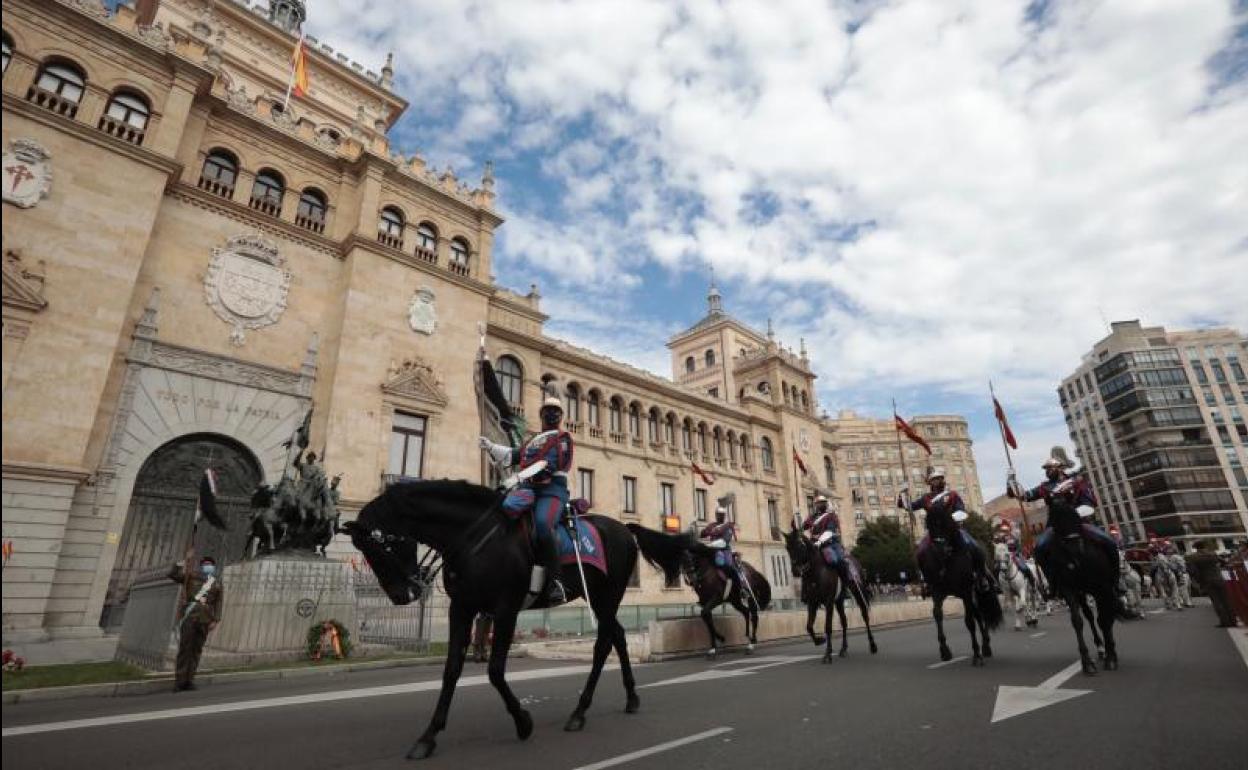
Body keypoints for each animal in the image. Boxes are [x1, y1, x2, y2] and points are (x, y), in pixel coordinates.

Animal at [339, 476, 638, 758]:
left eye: (377, 549)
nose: (402, 595)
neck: (475, 538)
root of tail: (624, 530)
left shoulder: (505, 611)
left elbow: (495, 671)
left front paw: (523, 722)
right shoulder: (461, 608)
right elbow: (451, 670)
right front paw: (428, 736)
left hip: (607, 598)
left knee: (604, 644)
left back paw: (585, 711)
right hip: (597, 599)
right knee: (617, 636)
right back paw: (623, 701)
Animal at [624, 521, 768, 653]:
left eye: (691, 558)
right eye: (681, 561)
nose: (692, 579)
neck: (705, 572)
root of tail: (753, 570)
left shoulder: (716, 598)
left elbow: (705, 614)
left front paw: (718, 640)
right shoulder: (706, 601)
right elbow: (706, 617)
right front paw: (715, 644)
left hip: (748, 598)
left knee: (754, 615)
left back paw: (752, 642)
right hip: (735, 600)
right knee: (746, 612)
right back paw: (747, 637)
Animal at [778, 529, 878, 658]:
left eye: (800, 545)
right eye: (787, 547)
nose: (795, 571)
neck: (815, 574)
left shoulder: (828, 602)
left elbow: (828, 627)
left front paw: (827, 654)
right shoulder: (812, 603)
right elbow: (809, 626)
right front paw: (820, 641)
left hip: (858, 592)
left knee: (865, 616)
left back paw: (872, 645)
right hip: (839, 601)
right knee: (844, 622)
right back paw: (843, 649)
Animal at [913, 526, 1008, 663]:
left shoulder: (966, 592)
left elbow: (970, 620)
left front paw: (977, 652)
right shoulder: (938, 592)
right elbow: (938, 614)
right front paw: (945, 650)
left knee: (979, 613)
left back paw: (985, 646)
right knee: (978, 614)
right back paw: (985, 644)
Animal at [1038, 499, 1118, 673]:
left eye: (1077, 519)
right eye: (1056, 520)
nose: (1075, 553)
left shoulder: (1103, 587)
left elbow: (1104, 619)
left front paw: (1111, 657)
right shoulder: (1069, 589)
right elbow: (1077, 621)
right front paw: (1087, 662)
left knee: (1106, 614)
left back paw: (1108, 649)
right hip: (1082, 592)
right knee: (1089, 615)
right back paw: (1100, 647)